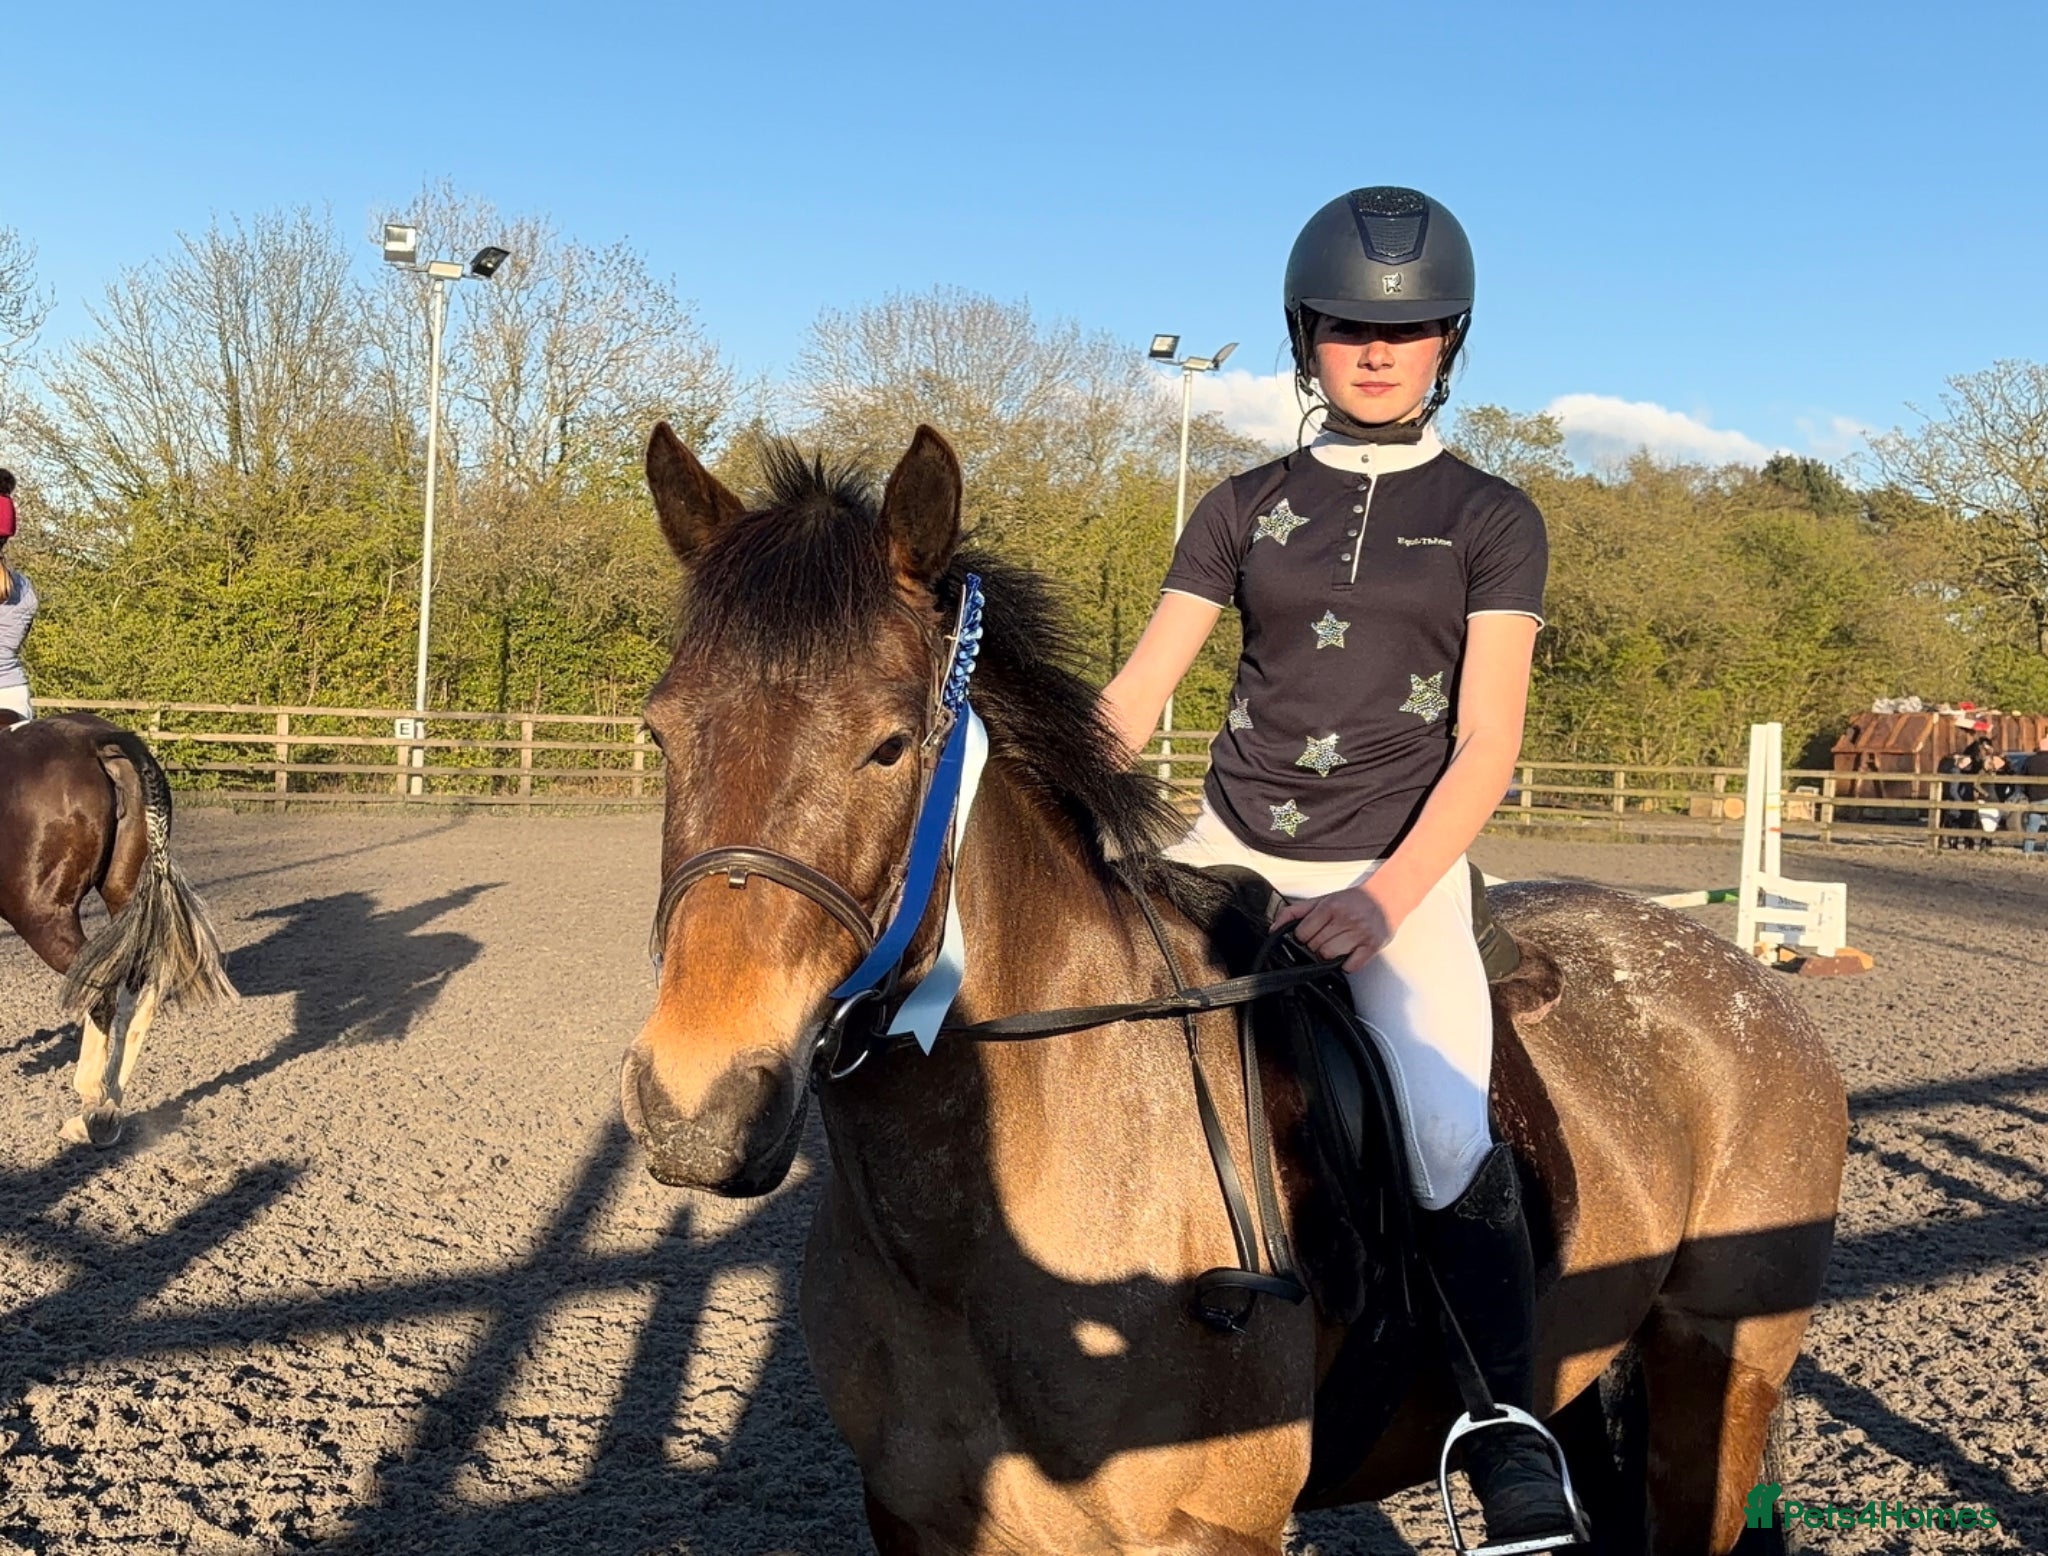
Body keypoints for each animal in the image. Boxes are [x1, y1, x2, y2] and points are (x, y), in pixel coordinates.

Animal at [1, 711, 237, 1145]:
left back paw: (92, 1105)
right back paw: (109, 1105)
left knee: (102, 990)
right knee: (139, 988)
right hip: (125, 897)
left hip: (42, 917)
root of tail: (100, 742)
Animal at [620, 422, 1849, 1555]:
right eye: (660, 731)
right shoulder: (918, 1516)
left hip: (1719, 1365)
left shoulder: (1208, 1529)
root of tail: (1741, 978)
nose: (697, 1107)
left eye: (886, 746)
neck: (974, 1242)